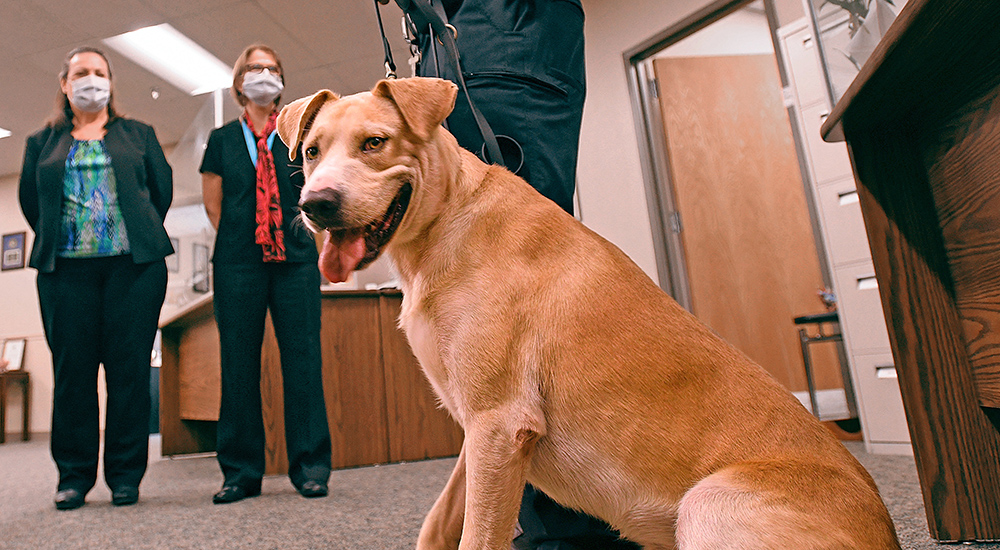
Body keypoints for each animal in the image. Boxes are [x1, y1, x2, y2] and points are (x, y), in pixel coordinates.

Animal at [278, 77, 904, 550]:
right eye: (311, 152)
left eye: (374, 143)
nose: (316, 205)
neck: (445, 223)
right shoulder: (480, 428)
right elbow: (438, 526)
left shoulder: (499, 423)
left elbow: (476, 536)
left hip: (708, 503)